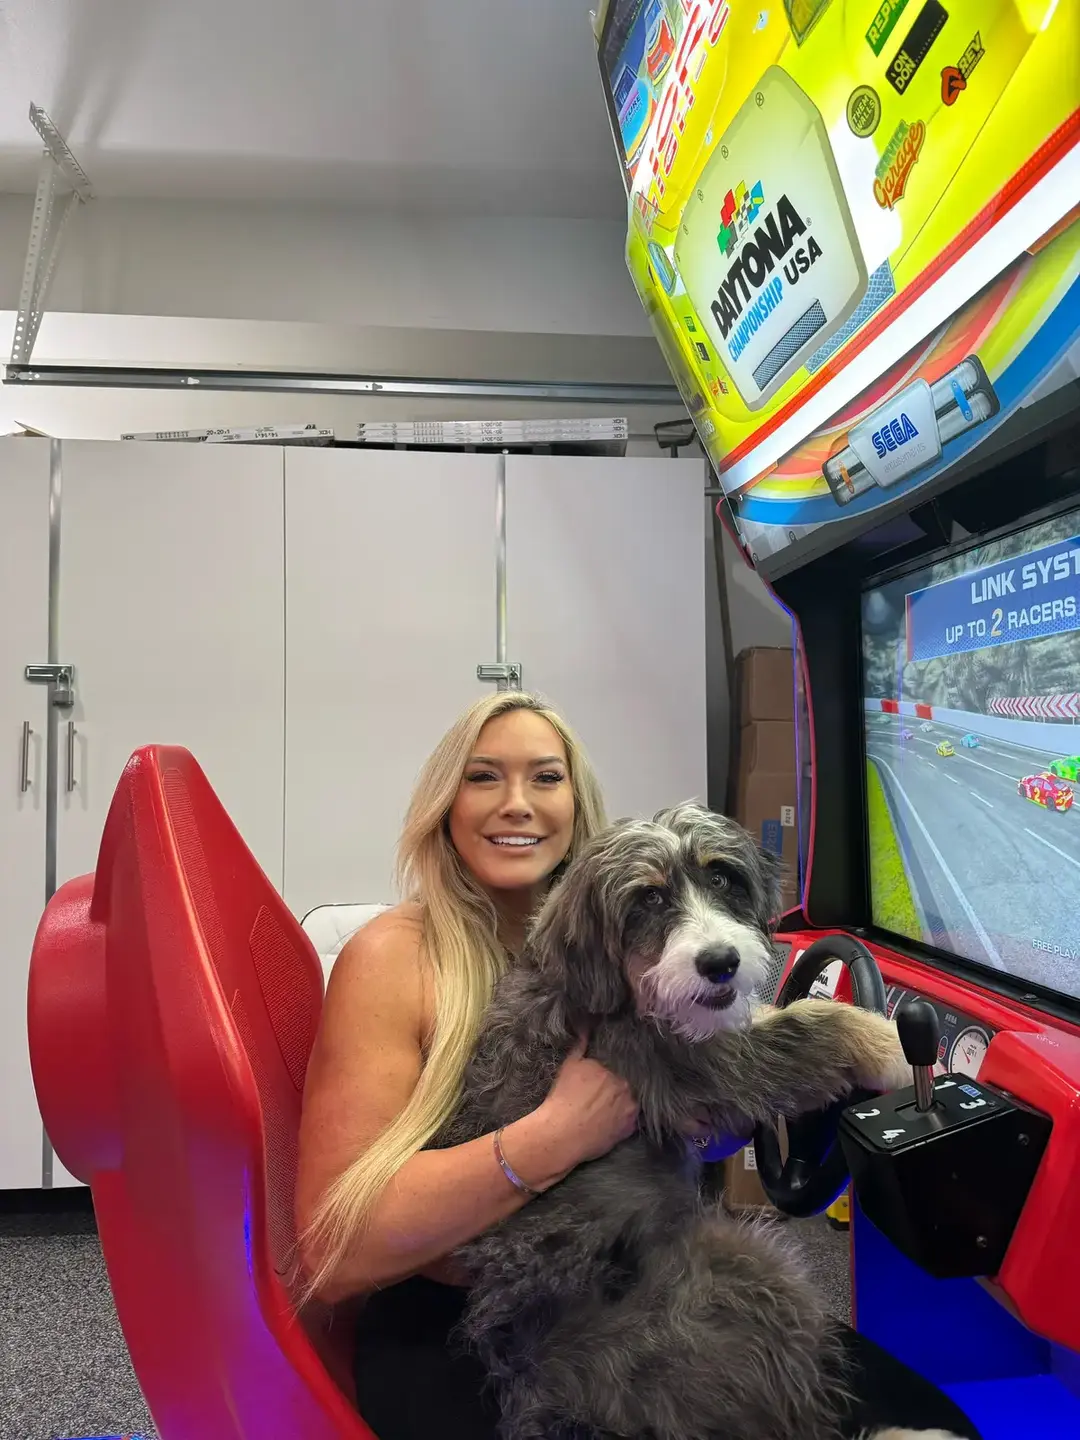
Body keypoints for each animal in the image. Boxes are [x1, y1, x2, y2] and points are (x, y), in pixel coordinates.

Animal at [434, 806, 961, 1440]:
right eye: (648, 899)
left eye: (721, 877)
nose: (720, 963)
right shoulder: (684, 1062)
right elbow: (806, 1025)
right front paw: (890, 1045)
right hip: (748, 1277)